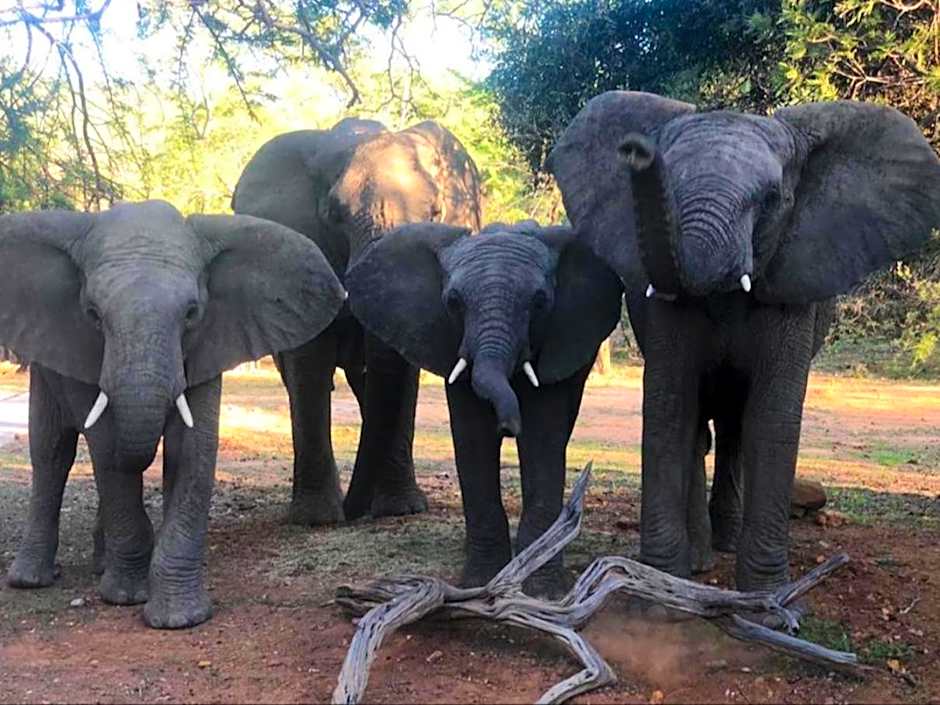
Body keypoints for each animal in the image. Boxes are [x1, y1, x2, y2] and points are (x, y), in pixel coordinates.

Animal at [0, 200, 345, 628]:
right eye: (93, 314)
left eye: (192, 313)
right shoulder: (76, 343)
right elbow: (107, 447)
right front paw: (127, 596)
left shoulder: (212, 339)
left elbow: (192, 448)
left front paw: (179, 618)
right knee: (51, 452)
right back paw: (31, 579)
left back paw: (101, 564)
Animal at [232, 118, 482, 526]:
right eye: (334, 215)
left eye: (435, 213)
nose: (352, 511)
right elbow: (309, 365)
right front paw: (316, 519)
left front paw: (399, 510)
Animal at [346, 221, 622, 596]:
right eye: (453, 302)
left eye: (540, 302)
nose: (506, 427)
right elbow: (472, 438)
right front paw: (479, 582)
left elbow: (542, 438)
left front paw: (543, 590)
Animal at [548, 92, 940, 591]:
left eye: (771, 199)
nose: (637, 150)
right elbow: (670, 408)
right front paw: (659, 582)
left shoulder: (792, 283)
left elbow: (771, 418)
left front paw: (769, 596)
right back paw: (701, 559)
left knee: (736, 428)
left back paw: (727, 544)